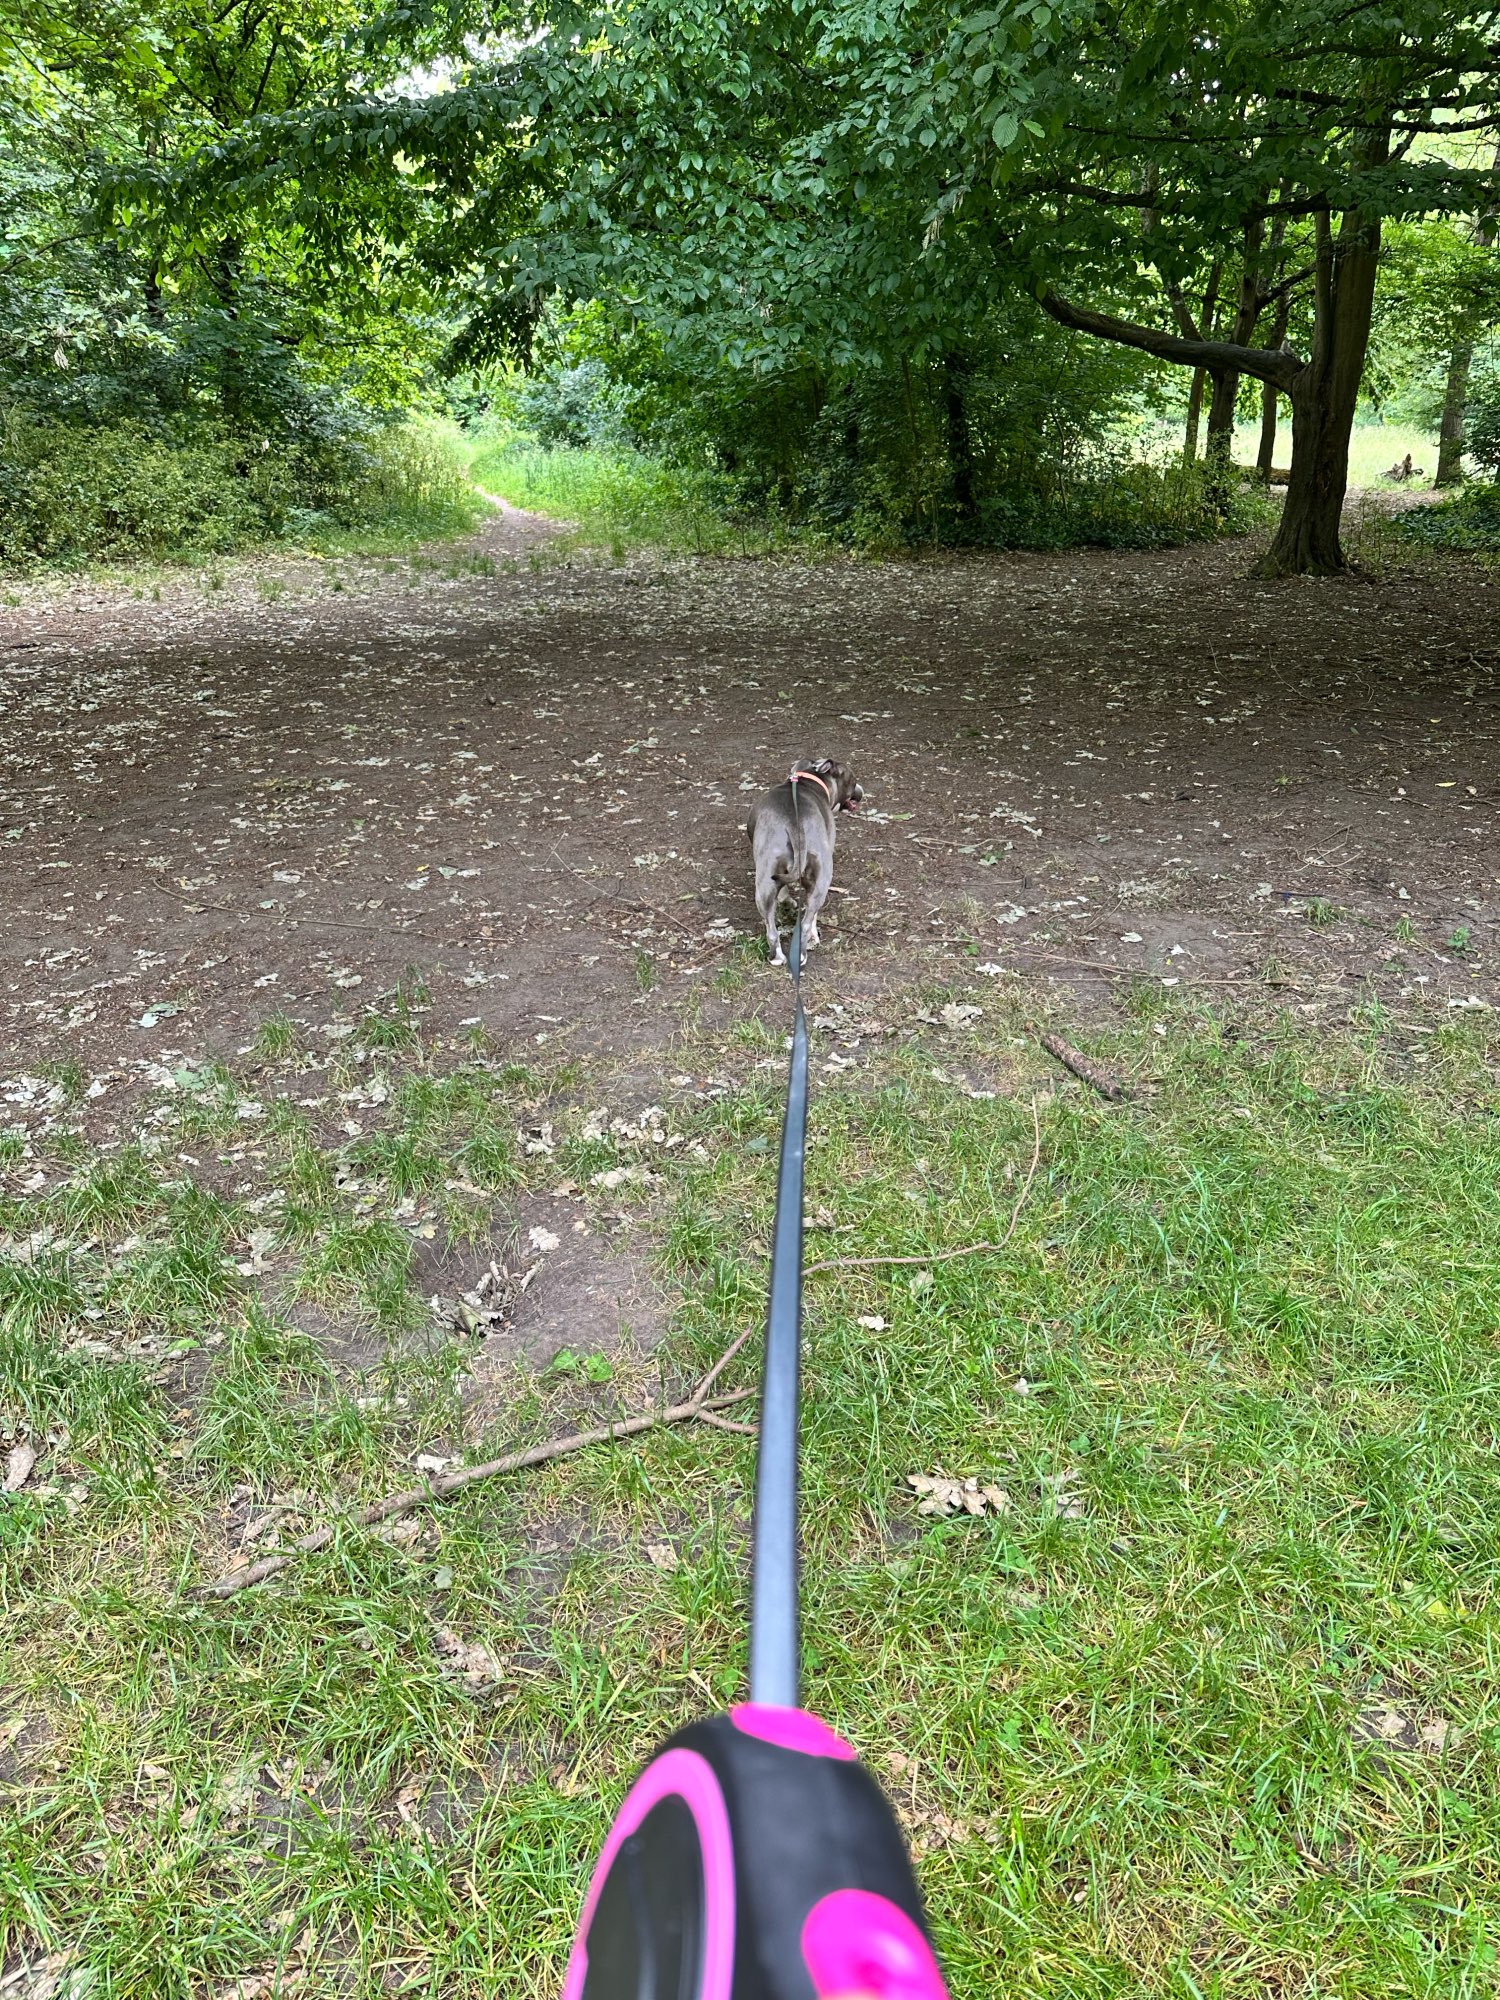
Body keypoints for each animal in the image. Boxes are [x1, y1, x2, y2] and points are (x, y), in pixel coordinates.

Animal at [745, 757, 863, 965]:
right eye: (853, 780)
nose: (861, 791)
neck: (809, 781)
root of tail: (795, 824)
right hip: (821, 881)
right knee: (808, 920)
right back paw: (805, 947)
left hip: (765, 882)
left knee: (771, 928)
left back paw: (777, 957)